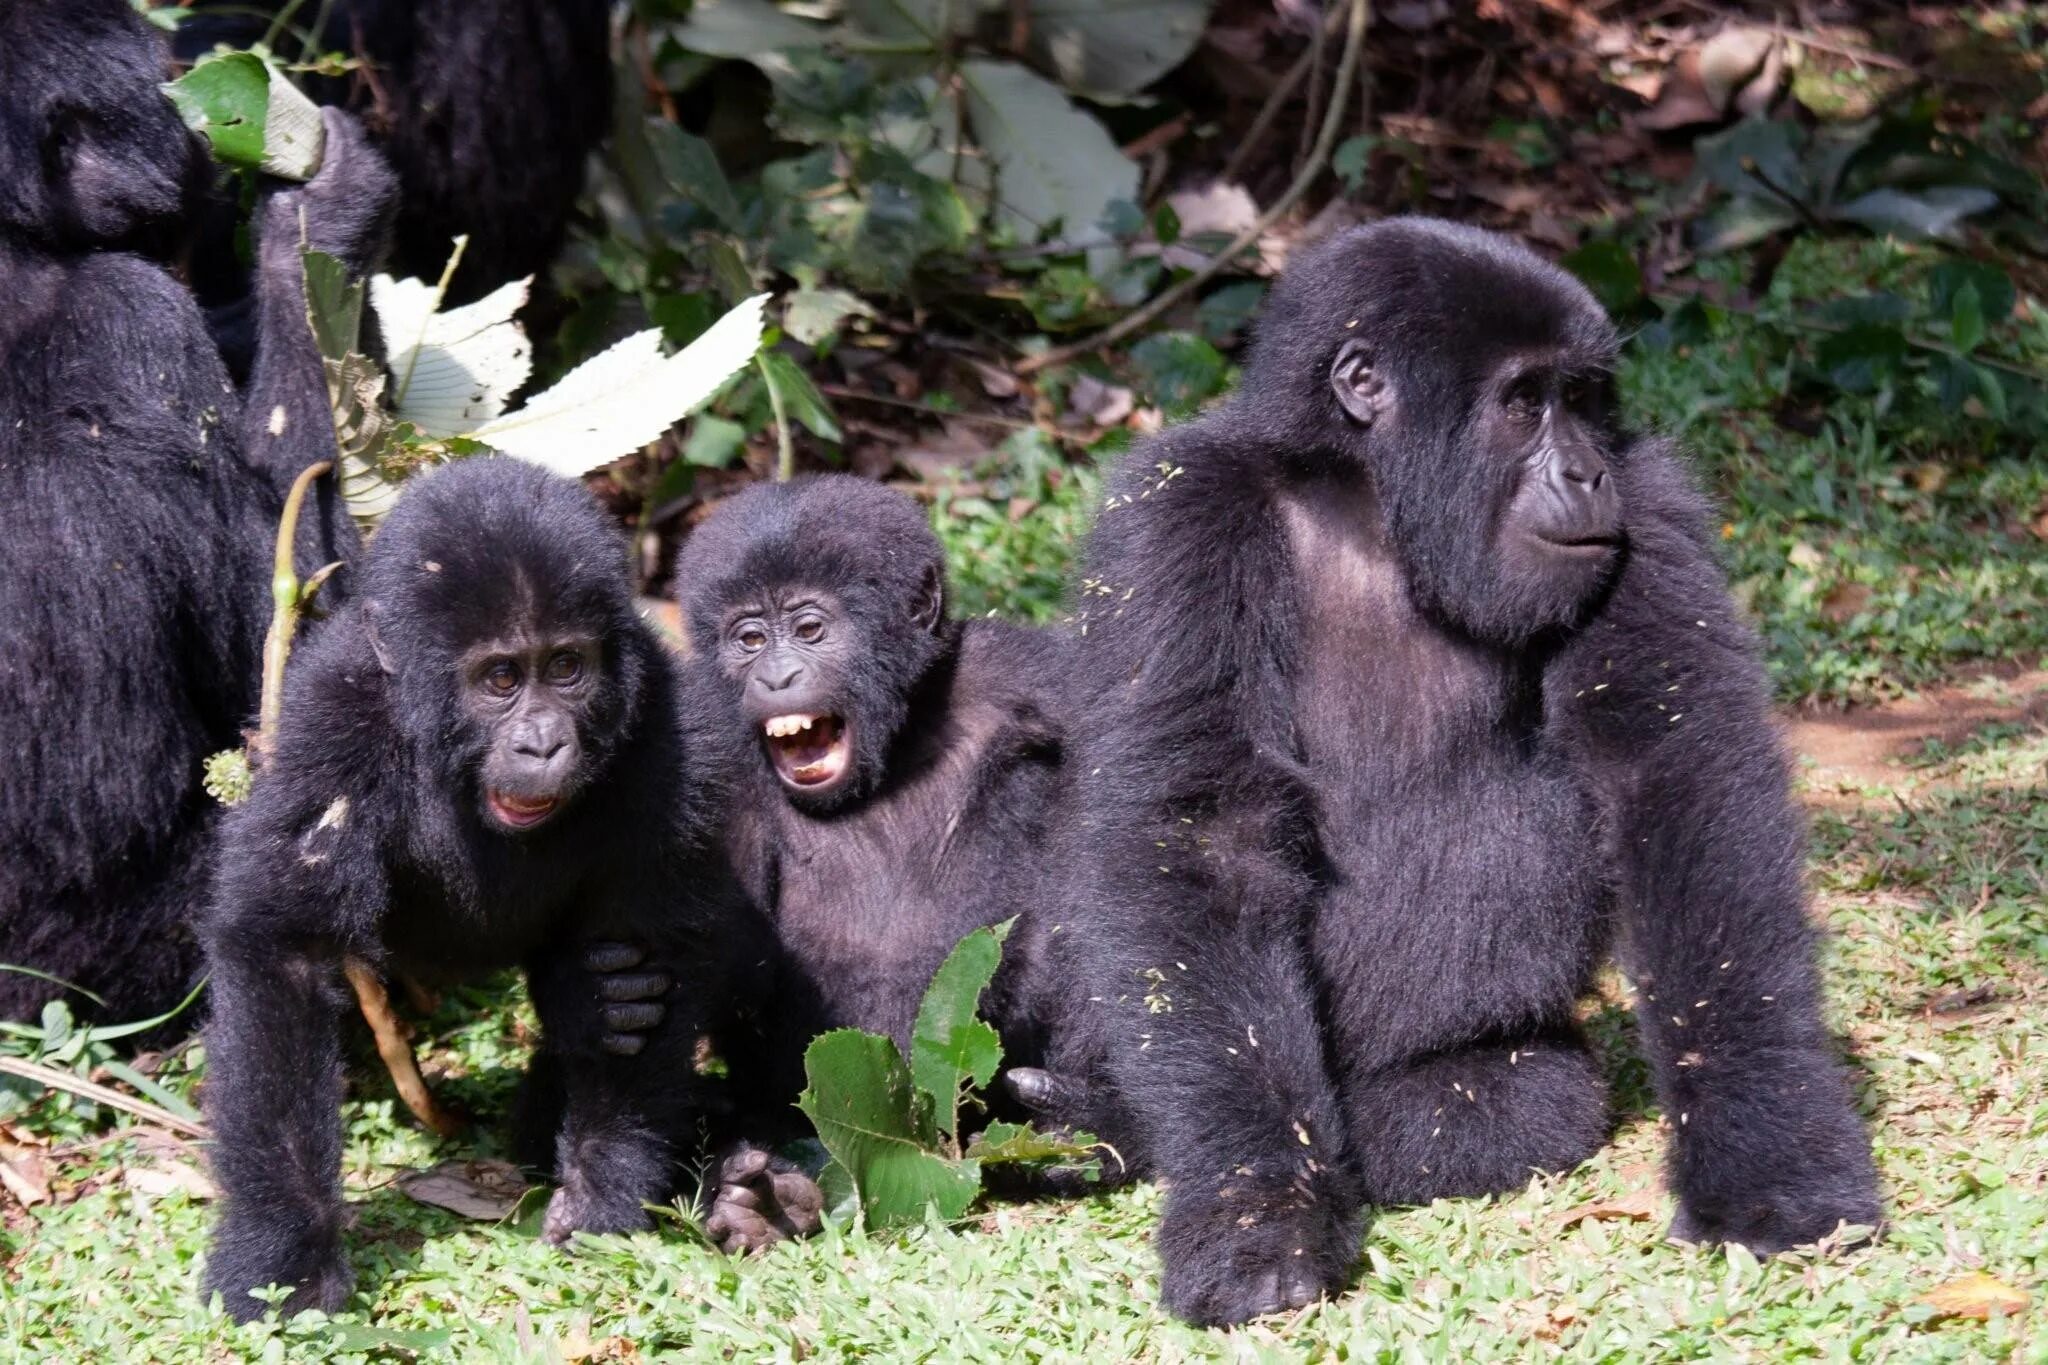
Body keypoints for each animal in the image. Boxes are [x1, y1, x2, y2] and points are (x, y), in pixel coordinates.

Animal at [195, 458, 745, 1326]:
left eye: (566, 667)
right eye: (500, 678)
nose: (543, 742)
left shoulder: (671, 730)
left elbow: (653, 947)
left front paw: (599, 1192)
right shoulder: (333, 714)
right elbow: (288, 950)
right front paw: (285, 1253)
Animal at [1073, 222, 1884, 1326]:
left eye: (1583, 399)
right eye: (1522, 403)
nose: (1586, 472)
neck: (1367, 499)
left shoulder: (1650, 498)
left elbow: (1676, 784)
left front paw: (1769, 1157)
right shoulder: (1178, 514)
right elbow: (1204, 831)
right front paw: (1256, 1204)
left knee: (1500, 1099)